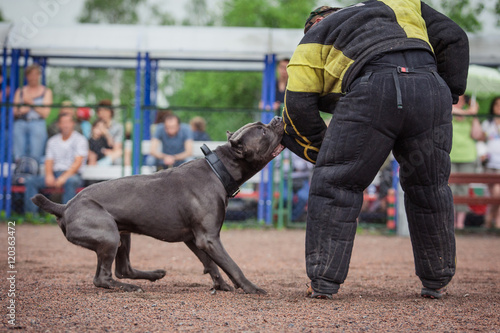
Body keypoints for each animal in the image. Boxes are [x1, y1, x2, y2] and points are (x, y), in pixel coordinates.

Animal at [32, 116, 286, 294]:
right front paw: (251, 288)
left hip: (122, 234)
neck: (219, 169)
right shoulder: (209, 238)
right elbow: (232, 265)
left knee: (123, 269)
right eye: (262, 131)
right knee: (102, 278)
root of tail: (65, 206)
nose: (277, 118)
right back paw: (131, 288)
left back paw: (154, 274)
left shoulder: (196, 239)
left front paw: (220, 285)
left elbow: (211, 264)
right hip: (108, 234)